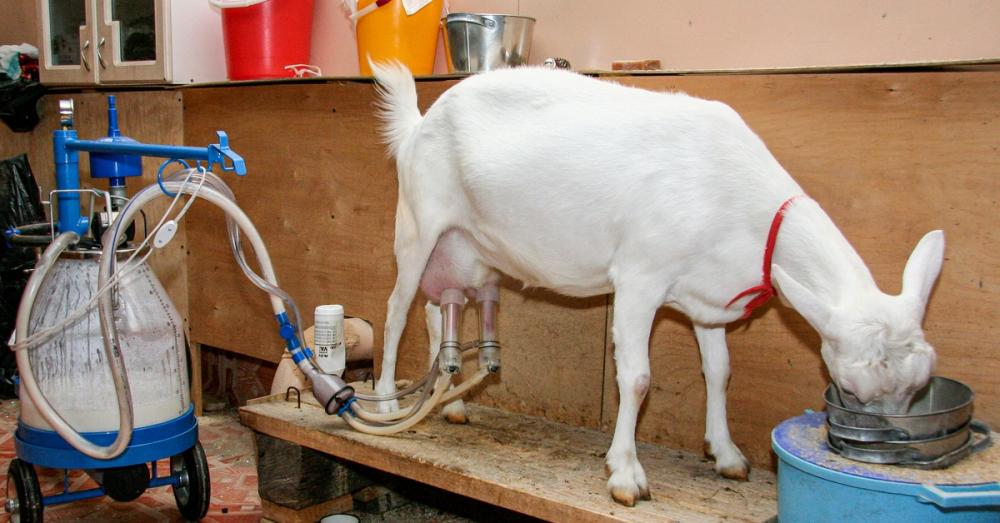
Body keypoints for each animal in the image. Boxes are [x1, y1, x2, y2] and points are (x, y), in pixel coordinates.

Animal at [369, 62, 945, 506]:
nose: (895, 452)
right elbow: (638, 377)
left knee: (440, 309)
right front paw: (625, 474)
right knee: (397, 311)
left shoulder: (708, 295)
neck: (732, 193)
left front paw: (727, 454)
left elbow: (720, 371)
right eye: (852, 390)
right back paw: (390, 401)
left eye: (916, 390)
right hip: (417, 226)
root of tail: (418, 123)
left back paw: (451, 403)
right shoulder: (639, 277)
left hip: (467, 249)